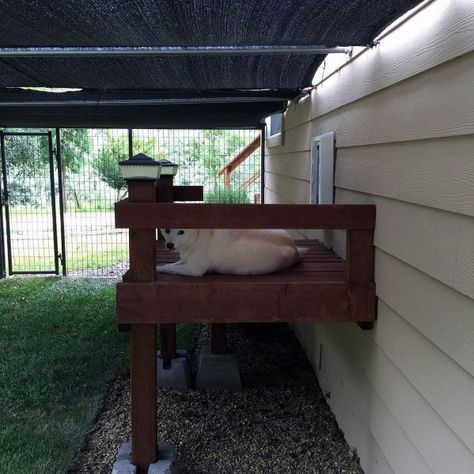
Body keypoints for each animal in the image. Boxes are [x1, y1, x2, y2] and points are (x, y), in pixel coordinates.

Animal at [157, 228, 302, 276]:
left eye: (181, 232)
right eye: (167, 230)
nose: (169, 245)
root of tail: (294, 248)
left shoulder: (194, 269)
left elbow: (173, 268)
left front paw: (162, 269)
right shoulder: (186, 260)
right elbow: (173, 264)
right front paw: (160, 267)